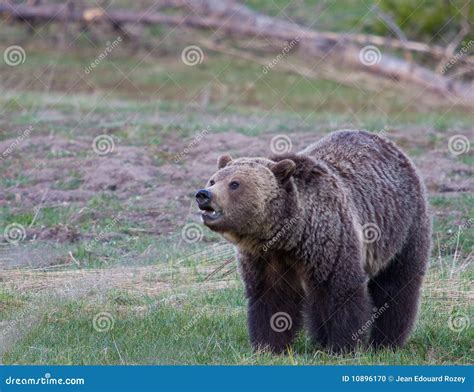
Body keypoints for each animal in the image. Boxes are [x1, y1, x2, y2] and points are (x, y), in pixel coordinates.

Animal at [194, 130, 432, 354]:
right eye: (213, 180)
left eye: (235, 183)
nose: (203, 194)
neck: (289, 236)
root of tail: (390, 146)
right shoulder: (264, 257)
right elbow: (271, 298)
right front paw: (268, 346)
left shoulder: (331, 243)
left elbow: (342, 293)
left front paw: (342, 346)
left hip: (404, 228)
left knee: (396, 287)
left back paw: (386, 342)